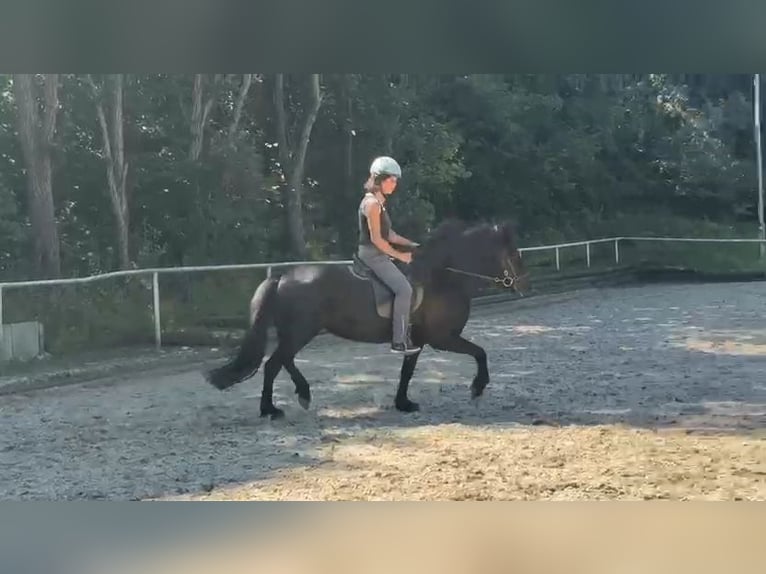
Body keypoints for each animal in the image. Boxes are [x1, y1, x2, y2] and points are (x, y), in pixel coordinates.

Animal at [204, 219, 530, 418]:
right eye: (515, 253)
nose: (523, 284)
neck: (444, 276)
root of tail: (283, 276)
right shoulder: (442, 338)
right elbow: (480, 352)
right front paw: (478, 387)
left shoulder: (417, 340)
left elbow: (407, 372)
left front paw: (403, 403)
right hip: (300, 332)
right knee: (274, 365)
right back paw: (272, 409)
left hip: (296, 333)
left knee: (283, 362)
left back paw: (299, 395)